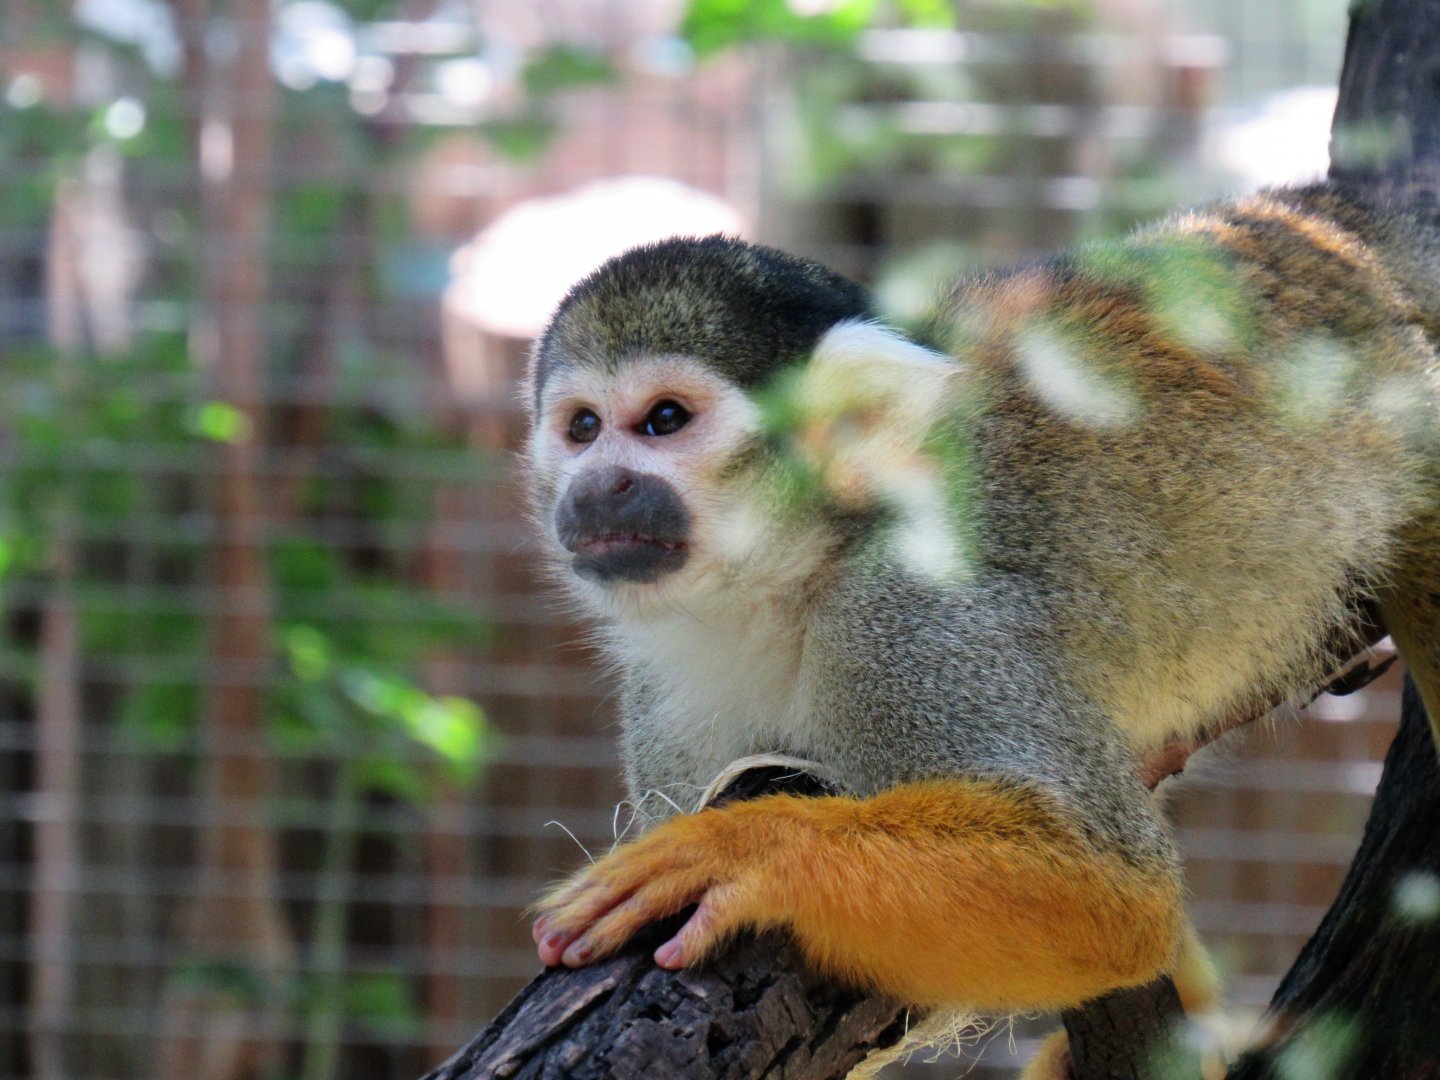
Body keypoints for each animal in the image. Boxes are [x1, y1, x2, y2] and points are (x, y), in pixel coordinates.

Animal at [522, 182, 1440, 1072]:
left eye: (664, 420)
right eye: (583, 428)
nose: (598, 487)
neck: (787, 578)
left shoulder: (907, 617)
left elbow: (1116, 893)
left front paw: (743, 847)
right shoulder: (662, 709)